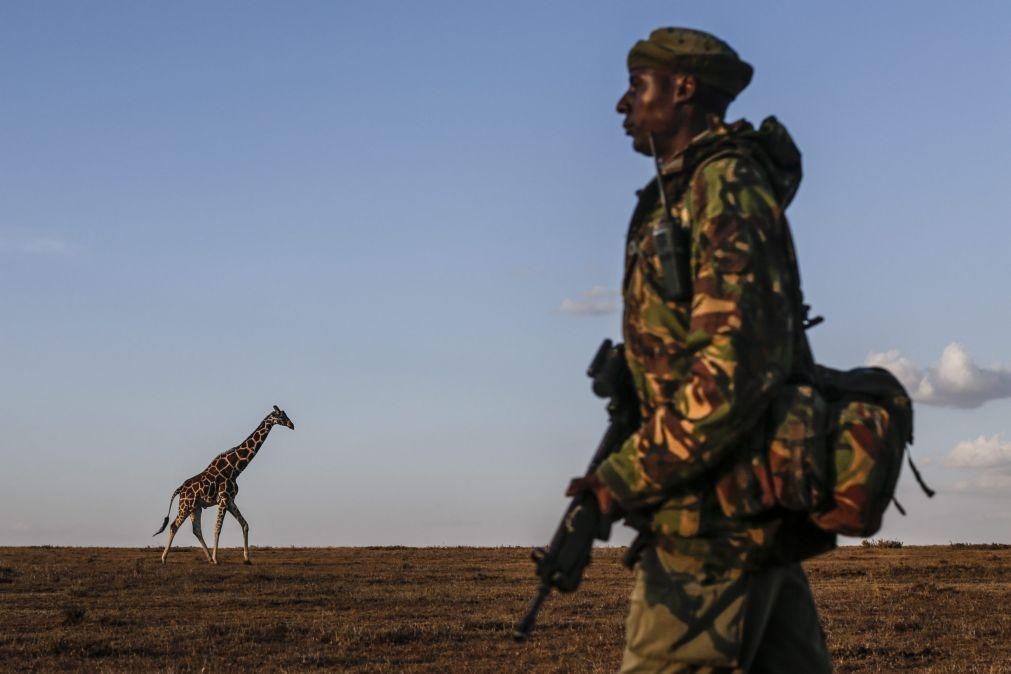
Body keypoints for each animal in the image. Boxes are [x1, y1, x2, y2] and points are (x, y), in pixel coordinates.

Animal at [151, 406, 293, 565]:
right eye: (281, 416)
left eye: (285, 414)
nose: (292, 425)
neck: (235, 469)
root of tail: (180, 489)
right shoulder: (224, 499)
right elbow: (217, 528)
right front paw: (216, 558)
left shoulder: (230, 500)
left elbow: (245, 524)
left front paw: (247, 558)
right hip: (185, 505)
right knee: (174, 525)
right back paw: (164, 558)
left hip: (196, 507)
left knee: (196, 530)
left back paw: (207, 558)